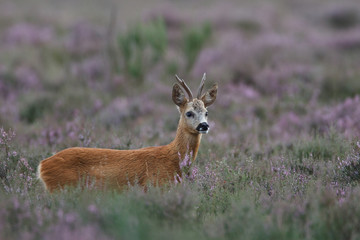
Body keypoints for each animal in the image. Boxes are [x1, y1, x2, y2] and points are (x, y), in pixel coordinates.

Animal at [37, 74, 217, 192]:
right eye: (189, 113)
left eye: (207, 112)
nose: (204, 125)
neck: (173, 159)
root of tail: (42, 165)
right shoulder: (154, 185)